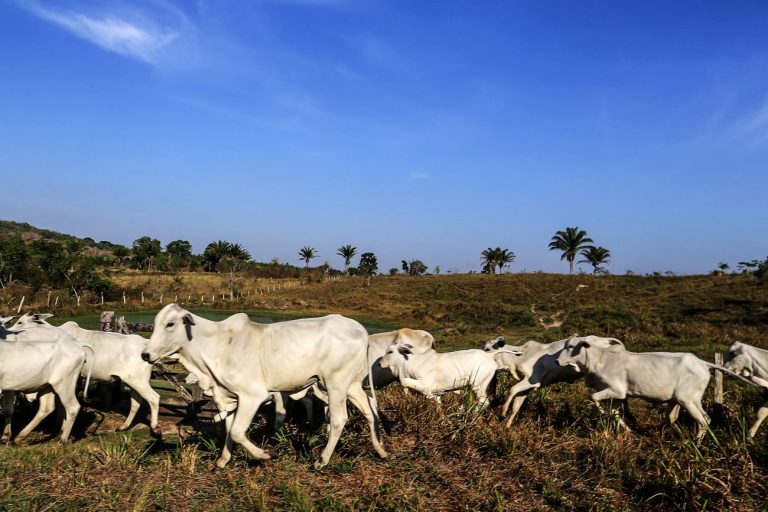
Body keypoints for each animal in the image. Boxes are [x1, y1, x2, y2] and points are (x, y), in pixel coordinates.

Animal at [10, 312, 160, 436]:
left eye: (20, 322)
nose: (10, 331)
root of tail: (146, 343)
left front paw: (60, 426)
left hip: (138, 380)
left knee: (154, 398)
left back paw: (155, 428)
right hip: (132, 381)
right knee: (136, 402)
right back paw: (124, 426)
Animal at [140, 304, 388, 468]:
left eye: (170, 324)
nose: (145, 354)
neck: (215, 345)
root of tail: (360, 330)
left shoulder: (253, 396)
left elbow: (238, 431)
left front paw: (266, 455)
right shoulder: (231, 397)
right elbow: (230, 429)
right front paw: (223, 460)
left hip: (335, 384)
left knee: (338, 419)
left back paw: (322, 460)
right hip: (352, 385)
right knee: (369, 411)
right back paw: (381, 450)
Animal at [486, 334, 624, 426]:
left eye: (487, 349)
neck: (519, 356)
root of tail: (605, 339)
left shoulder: (532, 380)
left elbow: (512, 390)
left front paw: (502, 412)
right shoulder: (528, 388)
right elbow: (516, 406)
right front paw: (507, 426)